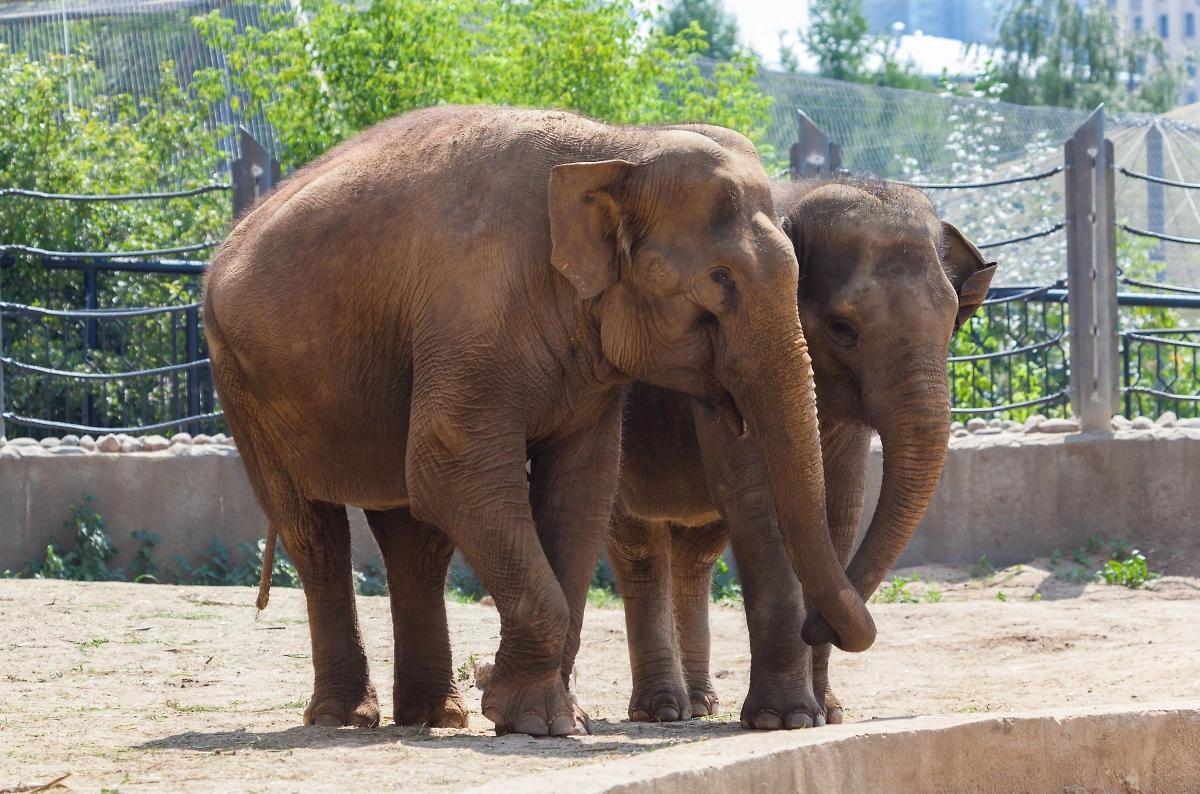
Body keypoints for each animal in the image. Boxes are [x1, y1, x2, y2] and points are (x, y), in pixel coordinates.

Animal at [204, 107, 873, 738]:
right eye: (719, 280)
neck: (619, 147)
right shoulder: (470, 313)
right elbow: (451, 469)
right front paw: (532, 718)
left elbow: (582, 487)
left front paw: (551, 719)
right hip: (239, 380)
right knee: (314, 531)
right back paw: (346, 717)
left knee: (413, 536)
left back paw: (435, 716)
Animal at [604, 171, 998, 729]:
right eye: (842, 329)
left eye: (952, 325)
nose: (819, 625)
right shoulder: (726, 360)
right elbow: (759, 504)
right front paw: (783, 719)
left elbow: (838, 510)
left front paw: (827, 713)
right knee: (638, 549)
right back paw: (662, 711)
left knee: (697, 553)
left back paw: (700, 705)